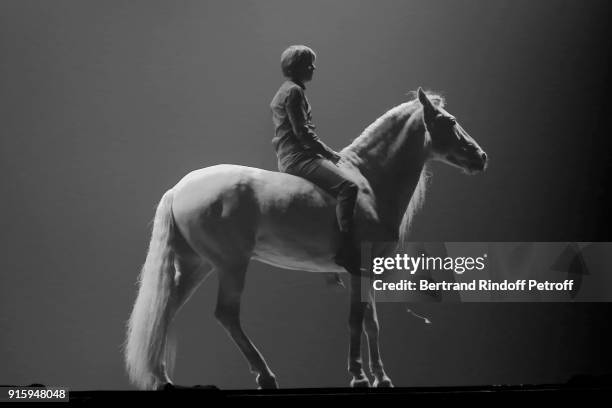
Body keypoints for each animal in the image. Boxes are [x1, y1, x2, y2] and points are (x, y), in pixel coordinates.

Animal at [123, 88, 488, 388]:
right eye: (450, 121)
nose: (480, 156)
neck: (368, 182)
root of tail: (179, 188)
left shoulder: (364, 271)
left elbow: (371, 322)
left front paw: (381, 378)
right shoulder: (358, 269)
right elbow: (356, 320)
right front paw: (359, 376)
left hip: (198, 265)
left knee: (167, 309)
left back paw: (163, 377)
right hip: (231, 265)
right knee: (225, 314)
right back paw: (265, 376)